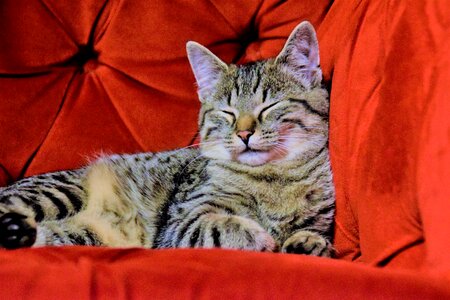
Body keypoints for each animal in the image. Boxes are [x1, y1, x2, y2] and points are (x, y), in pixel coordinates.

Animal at [0, 20, 334, 255]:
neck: (273, 180)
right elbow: (218, 227)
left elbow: (312, 232)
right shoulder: (180, 222)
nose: (244, 133)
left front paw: (307, 243)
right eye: (226, 112)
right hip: (61, 192)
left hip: (79, 234)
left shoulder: (320, 217)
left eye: (269, 106)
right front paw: (260, 236)